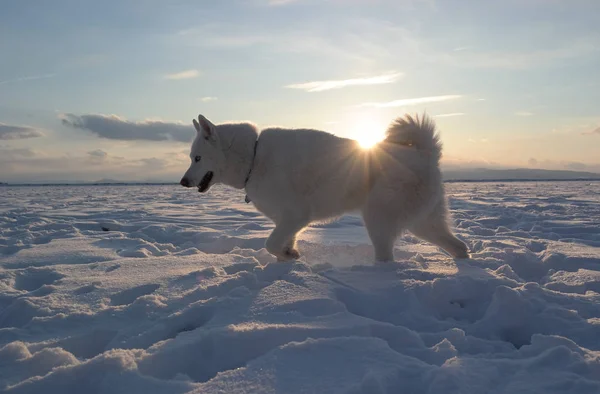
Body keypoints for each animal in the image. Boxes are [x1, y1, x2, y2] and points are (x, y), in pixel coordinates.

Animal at [179, 114, 468, 262]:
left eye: (197, 158)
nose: (182, 181)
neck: (253, 156)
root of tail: (426, 154)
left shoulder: (296, 215)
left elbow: (270, 243)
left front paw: (287, 257)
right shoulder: (287, 221)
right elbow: (281, 242)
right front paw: (289, 258)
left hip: (378, 219)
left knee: (386, 257)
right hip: (424, 222)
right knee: (459, 246)